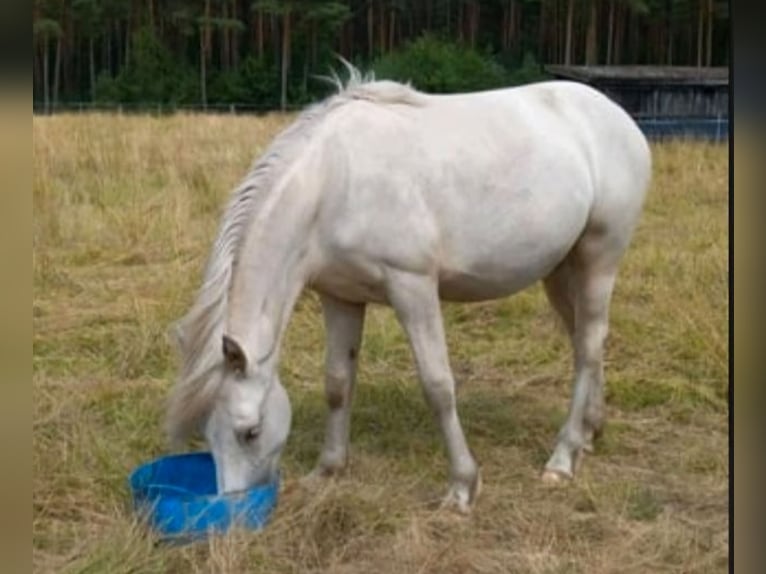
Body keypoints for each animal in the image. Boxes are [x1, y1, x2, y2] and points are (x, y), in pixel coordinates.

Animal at [165, 66, 652, 512]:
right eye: (207, 433)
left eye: (249, 432)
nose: (232, 507)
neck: (333, 182)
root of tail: (618, 119)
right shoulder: (340, 296)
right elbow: (337, 382)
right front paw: (328, 469)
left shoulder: (412, 287)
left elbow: (437, 385)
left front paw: (461, 487)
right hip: (560, 269)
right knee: (583, 341)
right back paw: (590, 431)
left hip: (598, 259)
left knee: (588, 345)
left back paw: (562, 459)